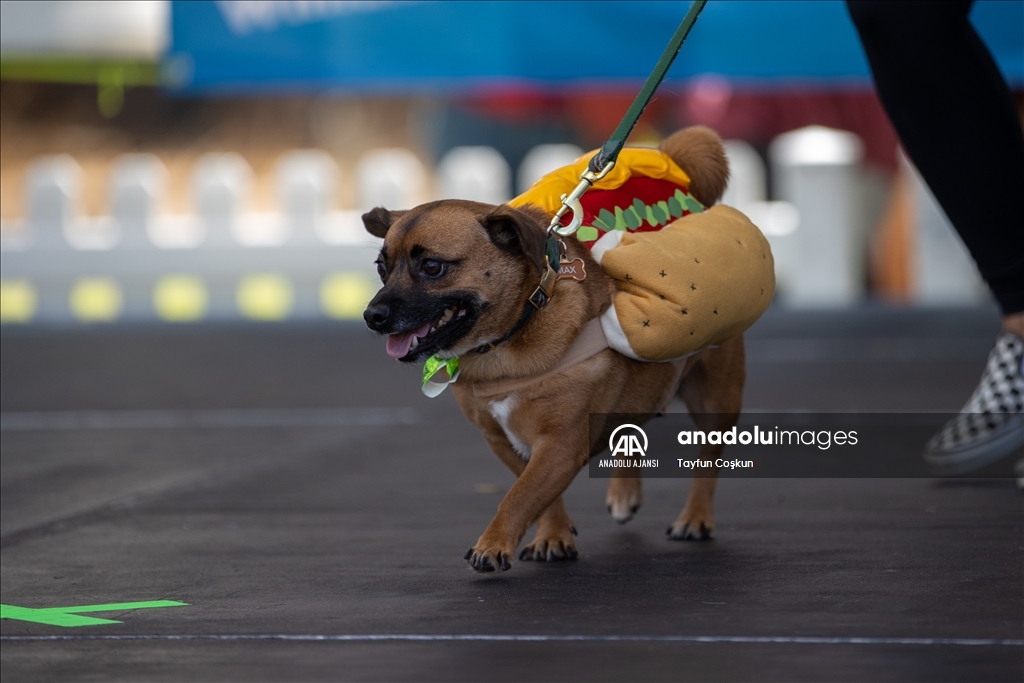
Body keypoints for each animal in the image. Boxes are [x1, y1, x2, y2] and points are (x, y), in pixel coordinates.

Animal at [364, 126, 741, 573]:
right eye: (381, 268)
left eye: (433, 267)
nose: (372, 315)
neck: (507, 338)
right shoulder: (505, 442)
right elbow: (538, 496)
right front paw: (554, 536)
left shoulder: (559, 445)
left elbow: (520, 496)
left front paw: (492, 544)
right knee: (631, 425)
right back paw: (625, 492)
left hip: (715, 399)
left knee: (708, 461)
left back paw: (695, 518)